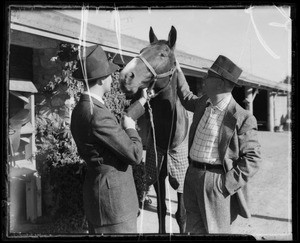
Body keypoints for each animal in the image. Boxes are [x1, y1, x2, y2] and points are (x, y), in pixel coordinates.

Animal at [118, 25, 189, 234]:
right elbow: (161, 210)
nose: (126, 76)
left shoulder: (181, 174)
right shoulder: (156, 170)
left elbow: (182, 215)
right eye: (142, 51)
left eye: (163, 54)